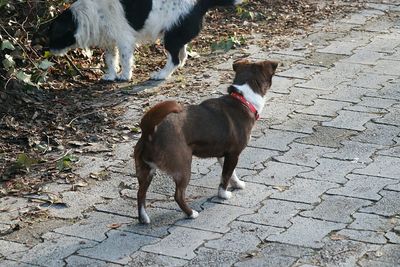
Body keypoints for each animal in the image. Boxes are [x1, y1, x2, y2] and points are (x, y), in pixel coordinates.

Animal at [50, 0, 244, 81]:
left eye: (53, 36)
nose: (47, 49)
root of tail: (201, 3)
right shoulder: (110, 42)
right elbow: (111, 60)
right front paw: (111, 75)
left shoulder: (124, 40)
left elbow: (125, 61)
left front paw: (124, 76)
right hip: (175, 35)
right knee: (183, 54)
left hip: (171, 37)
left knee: (174, 58)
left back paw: (161, 75)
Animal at [134, 59, 278, 224]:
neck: (243, 99)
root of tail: (150, 132)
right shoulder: (233, 154)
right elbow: (225, 177)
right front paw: (224, 195)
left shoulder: (223, 155)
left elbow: (231, 174)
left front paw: (237, 184)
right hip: (183, 167)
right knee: (178, 195)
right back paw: (191, 213)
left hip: (146, 171)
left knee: (140, 193)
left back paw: (144, 218)